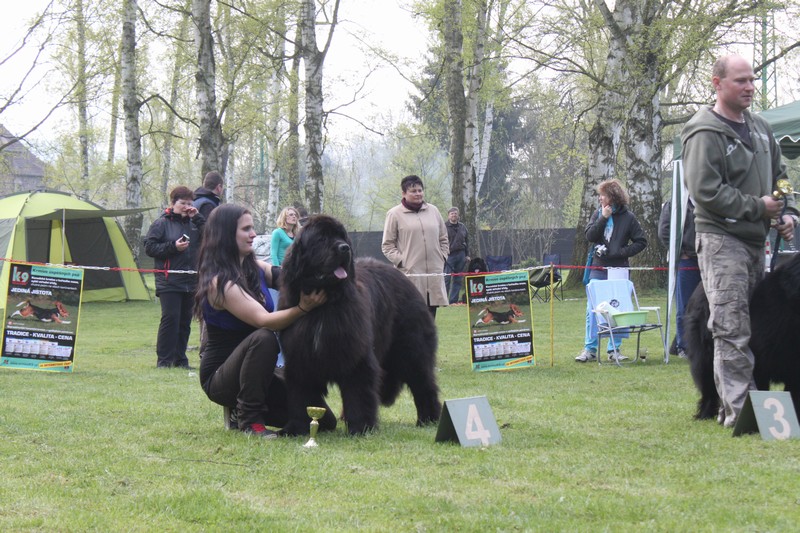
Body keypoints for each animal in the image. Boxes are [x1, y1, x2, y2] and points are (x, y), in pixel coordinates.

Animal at [277, 214, 442, 436]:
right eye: (321, 239)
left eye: (341, 236)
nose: (344, 248)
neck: (324, 306)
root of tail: (405, 279)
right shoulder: (300, 357)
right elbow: (302, 395)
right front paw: (297, 428)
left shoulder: (357, 355)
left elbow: (358, 392)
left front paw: (360, 428)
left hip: (412, 348)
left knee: (423, 383)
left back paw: (428, 419)